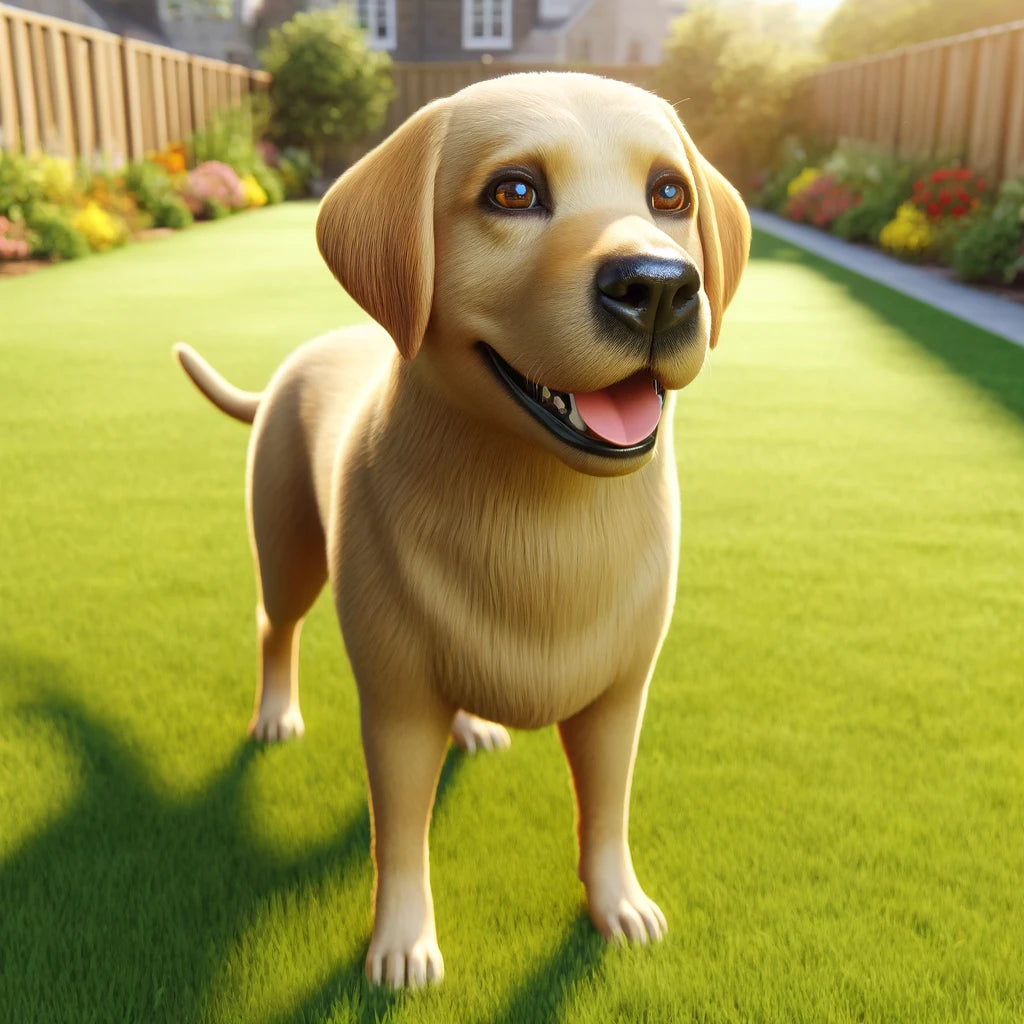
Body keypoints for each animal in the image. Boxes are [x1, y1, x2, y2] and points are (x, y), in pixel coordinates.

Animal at [174, 70, 753, 983]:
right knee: (274, 623)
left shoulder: (620, 698)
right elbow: (400, 834)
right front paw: (402, 943)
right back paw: (274, 714)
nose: (660, 286)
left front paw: (616, 904)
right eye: (513, 193)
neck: (543, 512)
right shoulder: (397, 706)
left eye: (670, 194)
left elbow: (606, 811)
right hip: (289, 547)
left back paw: (476, 724)